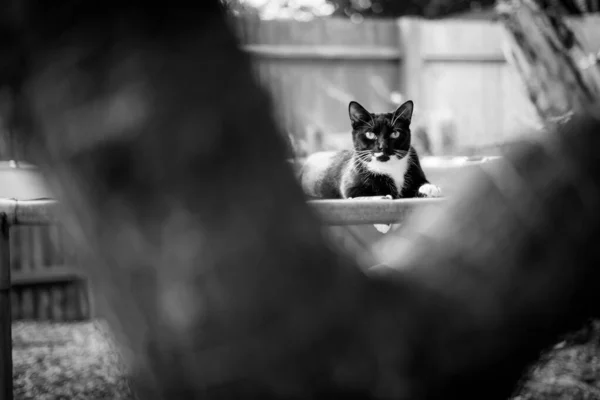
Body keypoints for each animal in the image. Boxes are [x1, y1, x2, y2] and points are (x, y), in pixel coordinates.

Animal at [300, 99, 440, 202]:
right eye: (370, 134)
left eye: (395, 133)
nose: (383, 146)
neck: (390, 166)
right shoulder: (350, 186)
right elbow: (363, 193)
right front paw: (383, 195)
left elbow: (421, 182)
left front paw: (430, 188)